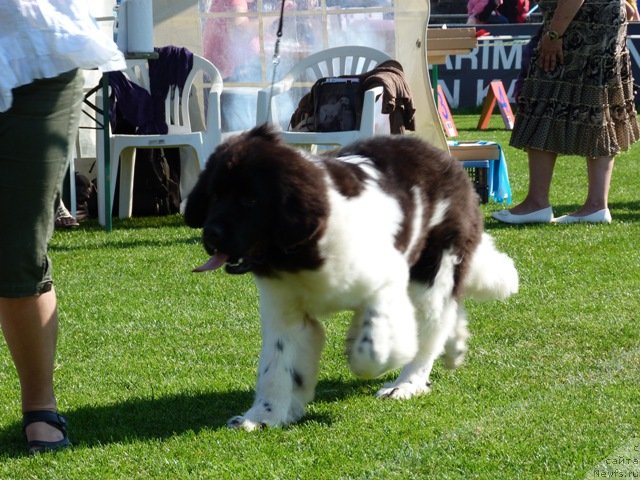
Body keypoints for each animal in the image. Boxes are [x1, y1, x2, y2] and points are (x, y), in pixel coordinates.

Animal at [182, 124, 516, 432]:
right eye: (214, 195)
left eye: (250, 201)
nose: (210, 234)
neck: (303, 252)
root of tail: (446, 159)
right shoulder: (286, 313)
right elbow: (276, 367)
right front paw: (262, 416)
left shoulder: (387, 280)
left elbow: (373, 348)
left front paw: (366, 349)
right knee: (450, 310)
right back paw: (454, 348)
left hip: (432, 270)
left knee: (430, 327)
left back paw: (406, 384)